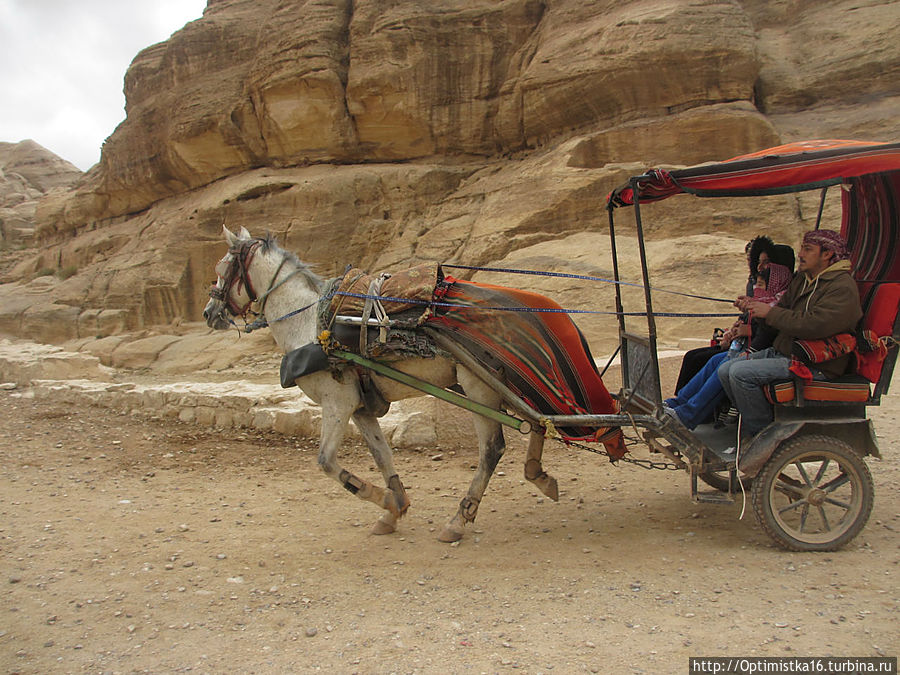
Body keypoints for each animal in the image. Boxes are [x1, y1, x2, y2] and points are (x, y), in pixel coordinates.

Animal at [204, 227, 560, 544]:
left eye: (221, 270)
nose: (209, 312)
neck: (310, 324)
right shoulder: (361, 406)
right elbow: (382, 455)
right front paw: (393, 508)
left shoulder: (337, 403)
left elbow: (326, 462)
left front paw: (384, 500)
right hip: (500, 385)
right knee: (540, 420)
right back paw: (538, 474)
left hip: (480, 389)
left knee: (493, 448)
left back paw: (459, 520)